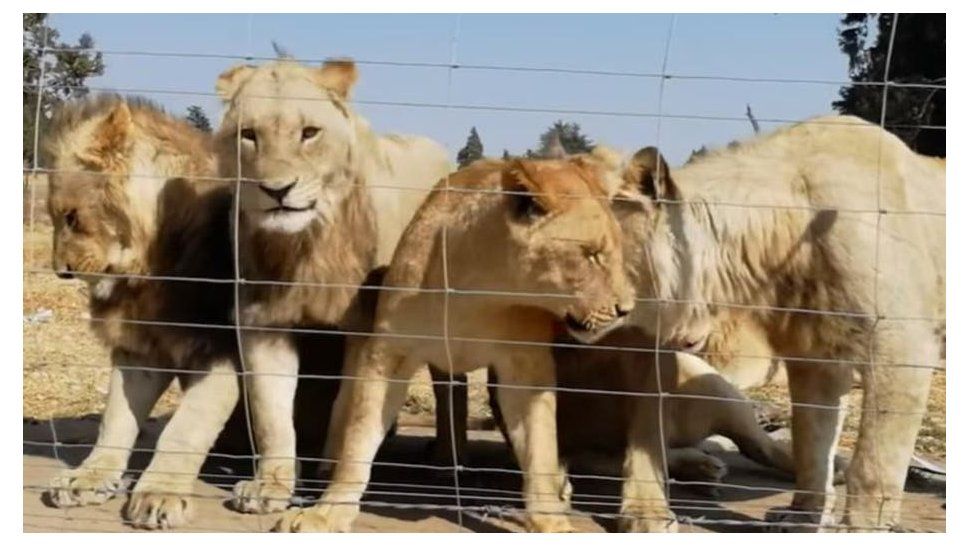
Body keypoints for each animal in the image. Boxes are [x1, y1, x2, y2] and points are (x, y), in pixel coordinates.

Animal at [41, 95, 240, 529]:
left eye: (71, 217)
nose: (61, 271)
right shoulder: (141, 350)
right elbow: (114, 420)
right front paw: (87, 478)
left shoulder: (223, 349)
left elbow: (185, 427)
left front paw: (159, 494)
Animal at [213, 58, 451, 513]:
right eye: (248, 135)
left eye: (309, 133)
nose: (277, 190)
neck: (304, 245)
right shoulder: (262, 321)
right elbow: (270, 411)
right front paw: (270, 486)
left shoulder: (366, 326)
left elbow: (350, 403)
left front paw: (331, 467)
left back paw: (444, 462)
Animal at [270, 156, 636, 532]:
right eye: (592, 255)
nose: (626, 309)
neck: (477, 292)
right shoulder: (387, 354)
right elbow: (358, 437)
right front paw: (327, 512)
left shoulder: (526, 367)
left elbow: (540, 449)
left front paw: (552, 522)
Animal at [614, 116, 945, 531]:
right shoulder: (815, 357)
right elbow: (811, 443)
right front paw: (801, 517)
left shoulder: (900, 346)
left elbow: (874, 463)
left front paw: (858, 528)